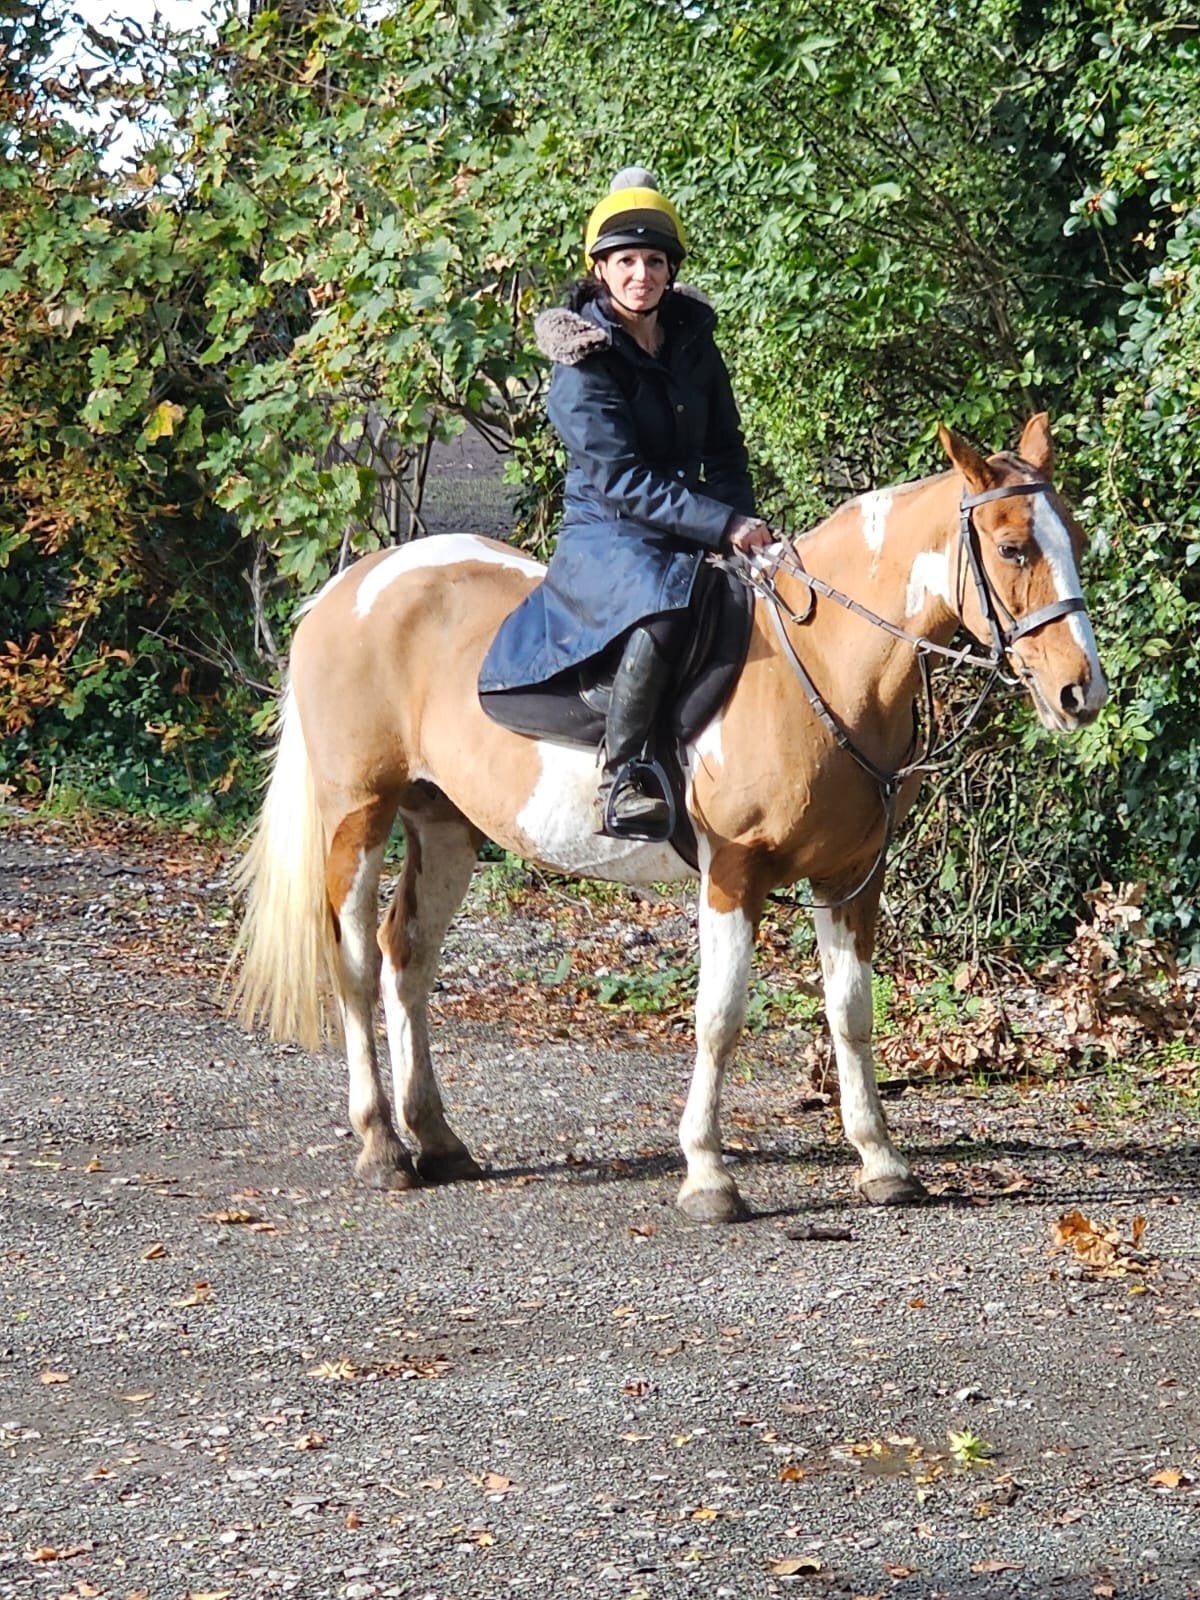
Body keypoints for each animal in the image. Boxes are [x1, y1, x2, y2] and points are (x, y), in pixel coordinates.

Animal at [231, 413, 1106, 1223]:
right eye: (1014, 548)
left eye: (1073, 539)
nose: (1081, 691)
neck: (820, 670)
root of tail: (351, 586)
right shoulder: (734, 873)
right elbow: (719, 1018)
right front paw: (709, 1175)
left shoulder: (852, 878)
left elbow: (852, 1015)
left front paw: (882, 1162)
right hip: (357, 814)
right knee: (354, 963)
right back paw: (382, 1146)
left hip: (445, 824)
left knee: (406, 956)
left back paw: (438, 1140)